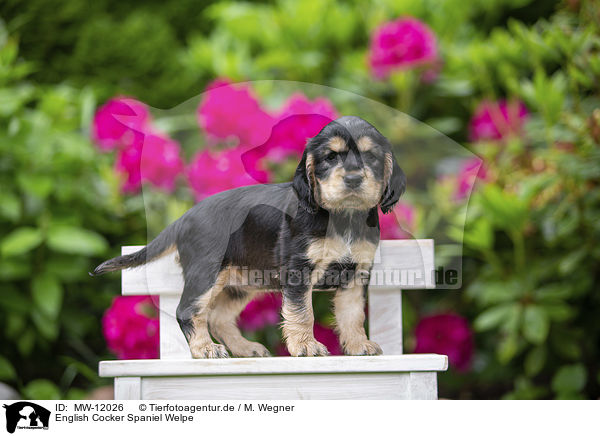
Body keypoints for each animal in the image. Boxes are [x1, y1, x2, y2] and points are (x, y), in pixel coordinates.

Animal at [92, 115, 404, 358]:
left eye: (371, 157)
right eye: (330, 157)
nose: (353, 179)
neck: (343, 217)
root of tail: (184, 217)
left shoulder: (356, 274)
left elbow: (353, 314)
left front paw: (358, 345)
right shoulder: (298, 270)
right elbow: (303, 312)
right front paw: (306, 346)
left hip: (239, 284)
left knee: (218, 318)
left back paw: (244, 348)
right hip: (206, 274)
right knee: (188, 311)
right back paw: (205, 349)